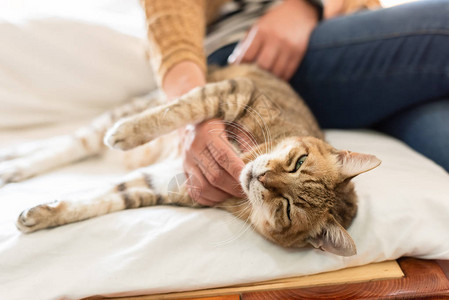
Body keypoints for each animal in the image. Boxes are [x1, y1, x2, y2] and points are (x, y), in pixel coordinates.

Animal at [8, 64, 378, 256]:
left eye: (287, 208)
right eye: (298, 162)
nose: (260, 178)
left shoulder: (165, 185)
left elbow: (101, 201)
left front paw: (42, 215)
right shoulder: (233, 92)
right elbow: (178, 109)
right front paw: (127, 133)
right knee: (73, 141)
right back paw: (14, 158)